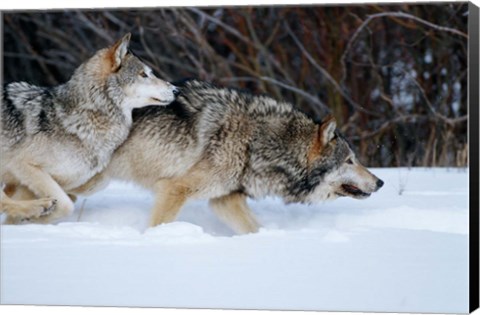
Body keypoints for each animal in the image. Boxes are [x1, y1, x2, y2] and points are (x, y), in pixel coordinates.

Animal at [0, 33, 179, 223]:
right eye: (144, 74)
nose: (176, 90)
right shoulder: (23, 165)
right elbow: (66, 205)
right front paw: (36, 219)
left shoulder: (32, 182)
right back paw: (39, 207)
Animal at [66, 79, 382, 235]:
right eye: (350, 160)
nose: (380, 183)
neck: (257, 143)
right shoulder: (174, 189)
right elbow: (158, 225)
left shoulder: (225, 200)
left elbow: (254, 229)